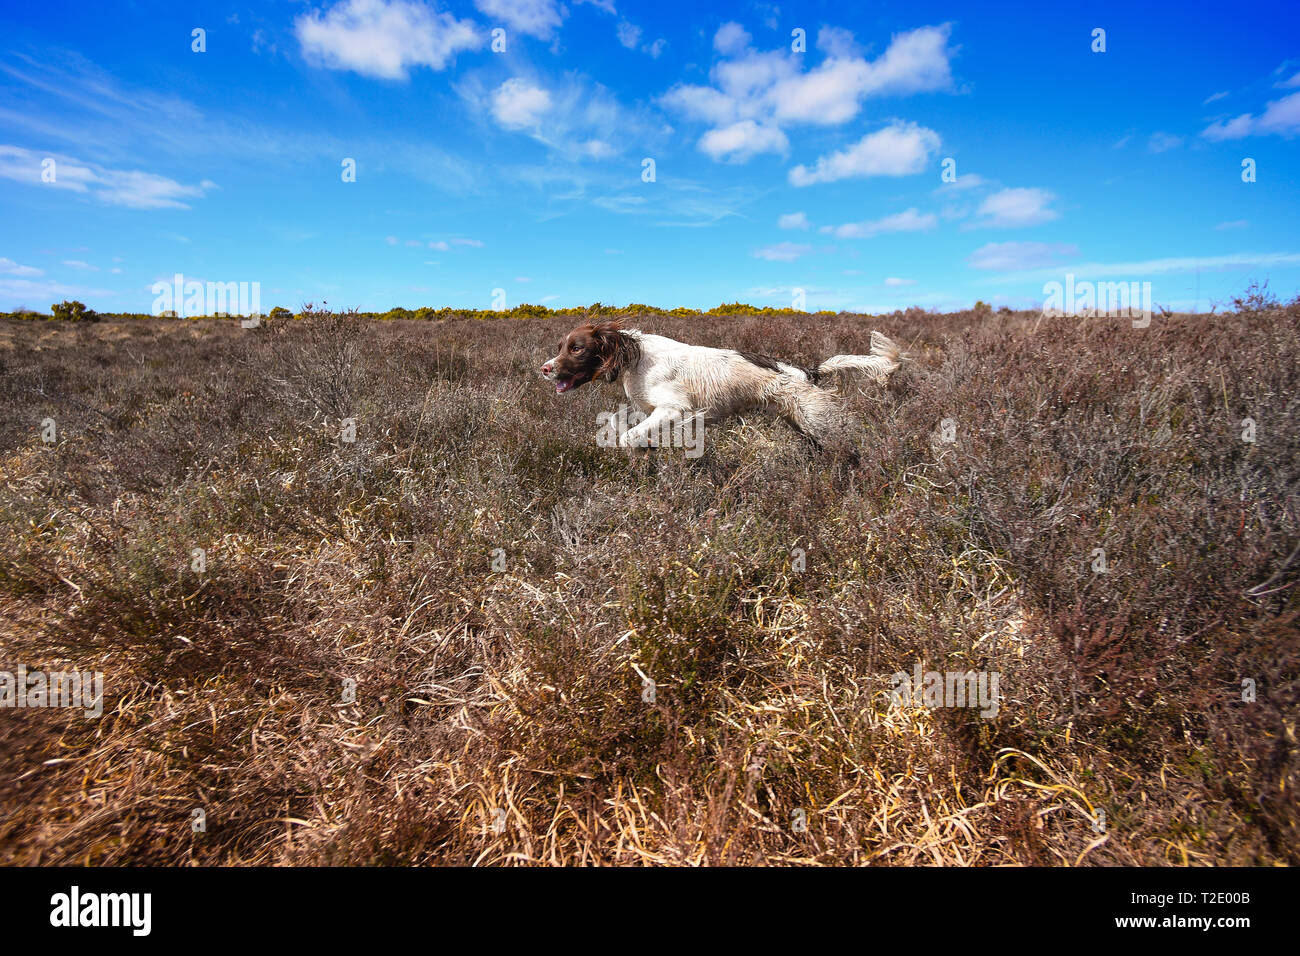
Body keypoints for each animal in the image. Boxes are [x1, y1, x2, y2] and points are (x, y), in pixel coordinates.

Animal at [535, 317, 894, 444]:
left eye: (577, 348)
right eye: (561, 346)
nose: (545, 368)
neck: (635, 356)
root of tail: (806, 371)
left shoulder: (674, 409)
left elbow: (629, 437)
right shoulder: (649, 409)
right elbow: (617, 422)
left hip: (817, 418)